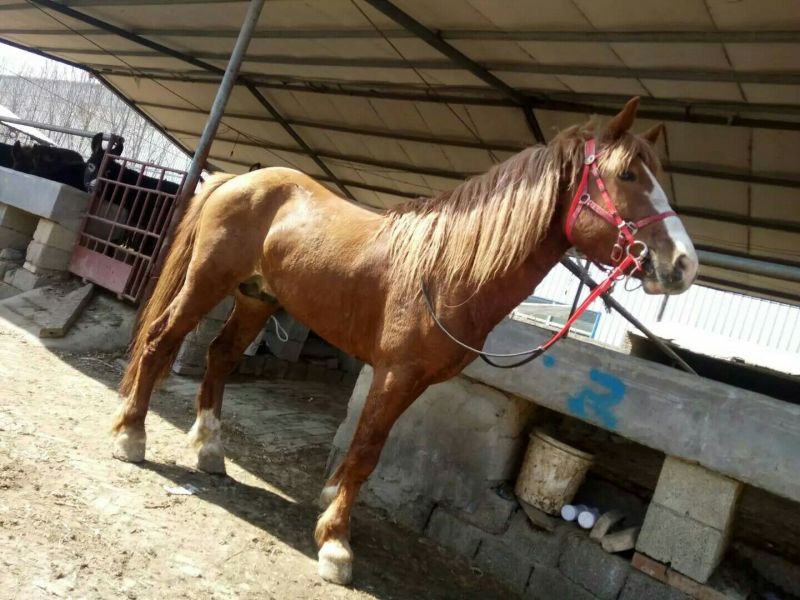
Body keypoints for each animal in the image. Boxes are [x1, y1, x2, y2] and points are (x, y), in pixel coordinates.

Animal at [110, 98, 698, 585]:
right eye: (627, 174)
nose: (683, 266)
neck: (451, 268)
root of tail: (237, 179)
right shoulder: (394, 373)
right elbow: (368, 450)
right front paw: (336, 545)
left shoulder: (415, 382)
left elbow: (368, 449)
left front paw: (330, 506)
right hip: (207, 283)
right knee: (161, 341)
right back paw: (131, 436)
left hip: (257, 298)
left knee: (220, 356)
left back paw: (210, 449)